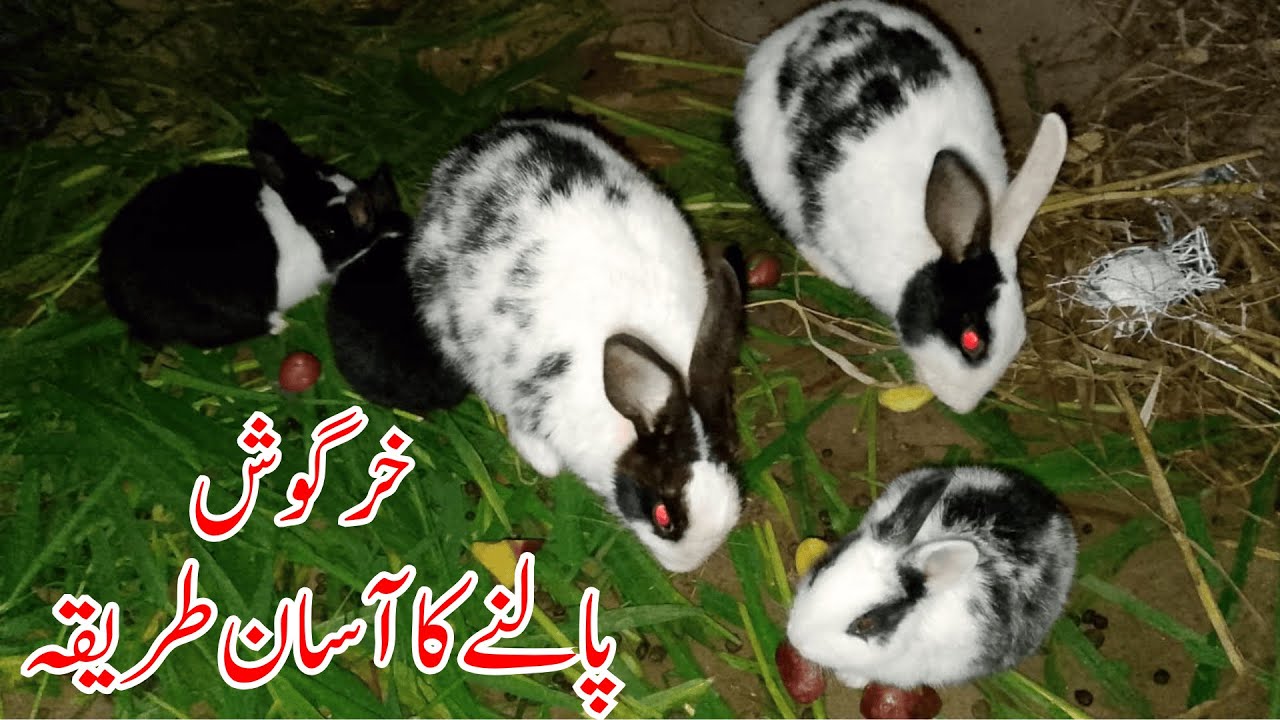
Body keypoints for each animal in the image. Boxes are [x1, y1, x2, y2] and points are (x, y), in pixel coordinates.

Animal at [733, 0, 1068, 413]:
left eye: (1021, 338)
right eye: (971, 340)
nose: (963, 406)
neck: (925, 250)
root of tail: (786, 35)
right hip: (771, 177)